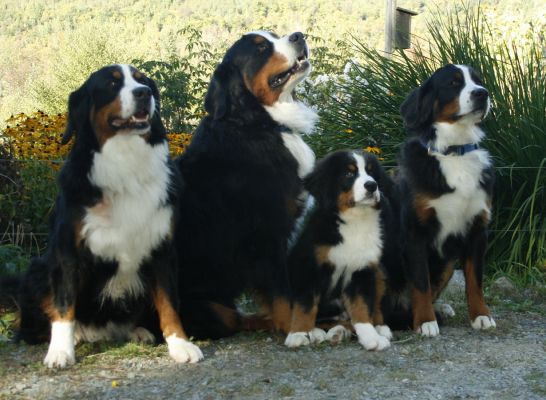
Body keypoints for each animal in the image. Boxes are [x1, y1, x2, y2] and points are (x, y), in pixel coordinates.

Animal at [174, 30, 316, 338]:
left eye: (274, 35)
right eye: (260, 48)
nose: (299, 35)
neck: (258, 123)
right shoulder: (267, 234)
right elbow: (281, 292)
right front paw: (294, 329)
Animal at [282, 152, 398, 352]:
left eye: (371, 172)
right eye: (349, 174)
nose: (372, 185)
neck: (355, 222)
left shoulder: (362, 271)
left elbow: (362, 308)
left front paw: (370, 337)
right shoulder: (309, 267)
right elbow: (305, 305)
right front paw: (298, 334)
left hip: (379, 272)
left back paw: (372, 329)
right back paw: (319, 332)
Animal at [394, 64, 496, 336]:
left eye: (478, 81)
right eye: (453, 83)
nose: (482, 93)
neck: (454, 152)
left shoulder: (477, 229)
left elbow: (475, 280)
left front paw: (481, 316)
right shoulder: (415, 232)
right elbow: (421, 283)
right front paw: (425, 322)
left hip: (448, 262)